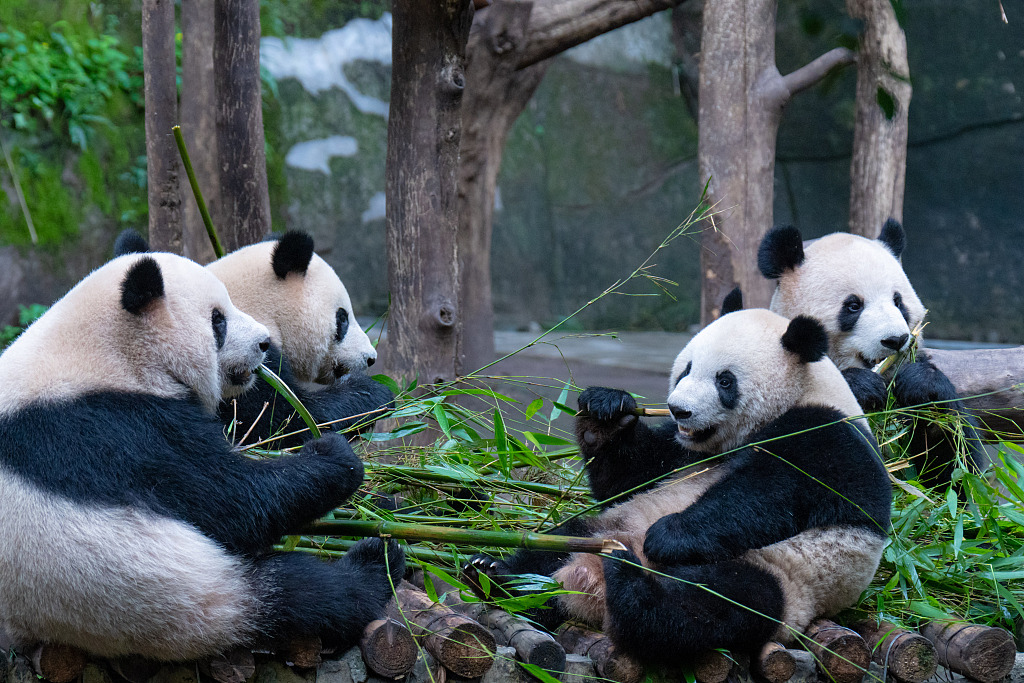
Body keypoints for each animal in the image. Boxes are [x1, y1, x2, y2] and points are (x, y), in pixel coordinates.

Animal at [0, 252, 405, 663]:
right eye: (218, 320)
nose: (262, 343)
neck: (101, 351)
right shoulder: (110, 427)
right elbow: (236, 494)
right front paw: (339, 445)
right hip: (187, 592)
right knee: (306, 592)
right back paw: (376, 562)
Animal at [115, 228, 391, 448]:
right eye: (342, 318)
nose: (370, 358)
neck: (258, 306)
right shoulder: (245, 365)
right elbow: (291, 422)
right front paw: (377, 393)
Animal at [464, 305, 888, 667]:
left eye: (724, 380)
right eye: (685, 370)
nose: (678, 409)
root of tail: (585, 589)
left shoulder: (830, 435)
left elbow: (772, 491)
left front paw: (669, 535)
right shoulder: (679, 452)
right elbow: (629, 479)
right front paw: (605, 410)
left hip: (780, 578)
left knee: (709, 609)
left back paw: (630, 583)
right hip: (603, 529)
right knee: (552, 548)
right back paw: (495, 575)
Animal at [761, 219, 983, 485]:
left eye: (898, 301)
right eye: (853, 305)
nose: (895, 340)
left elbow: (954, 472)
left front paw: (923, 385)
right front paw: (863, 386)